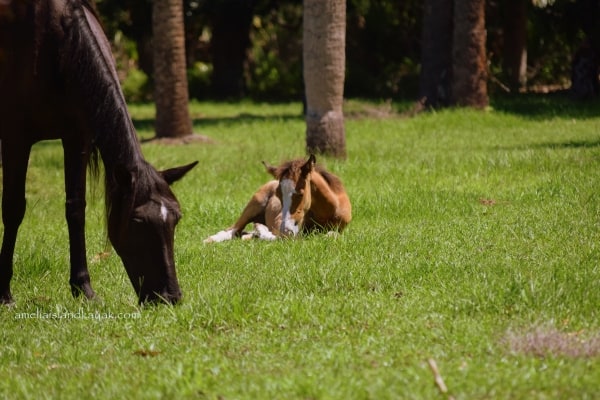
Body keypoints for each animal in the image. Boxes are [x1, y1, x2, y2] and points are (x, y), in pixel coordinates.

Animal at [0, 0, 198, 304]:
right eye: (137, 221)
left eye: (176, 218)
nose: (170, 296)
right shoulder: (16, 139)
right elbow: (13, 210)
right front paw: (4, 293)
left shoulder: (77, 139)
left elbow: (75, 209)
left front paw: (83, 287)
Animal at [205, 154, 352, 242]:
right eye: (278, 194)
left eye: (300, 193)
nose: (286, 229)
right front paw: (262, 231)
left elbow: (331, 235)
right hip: (253, 205)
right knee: (231, 230)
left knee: (243, 234)